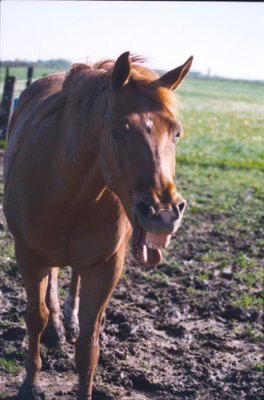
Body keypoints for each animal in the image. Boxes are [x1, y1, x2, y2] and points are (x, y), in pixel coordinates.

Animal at [3, 51, 193, 398]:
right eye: (118, 131)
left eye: (176, 132)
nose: (163, 214)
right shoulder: (28, 254)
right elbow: (35, 317)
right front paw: (29, 384)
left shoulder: (106, 265)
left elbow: (88, 345)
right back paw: (56, 328)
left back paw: (69, 321)